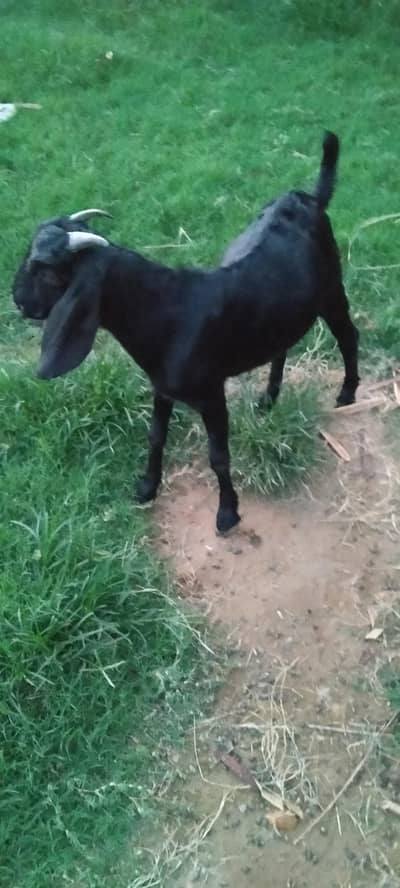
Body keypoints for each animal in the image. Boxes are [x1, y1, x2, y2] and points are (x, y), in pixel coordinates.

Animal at [13, 132, 359, 533]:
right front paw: (146, 487)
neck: (170, 312)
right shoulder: (162, 388)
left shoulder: (211, 393)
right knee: (282, 347)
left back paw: (348, 393)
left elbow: (218, 455)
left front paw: (227, 513)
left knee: (349, 335)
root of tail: (309, 198)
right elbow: (155, 436)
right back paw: (268, 399)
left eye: (46, 270)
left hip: (332, 289)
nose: (18, 300)